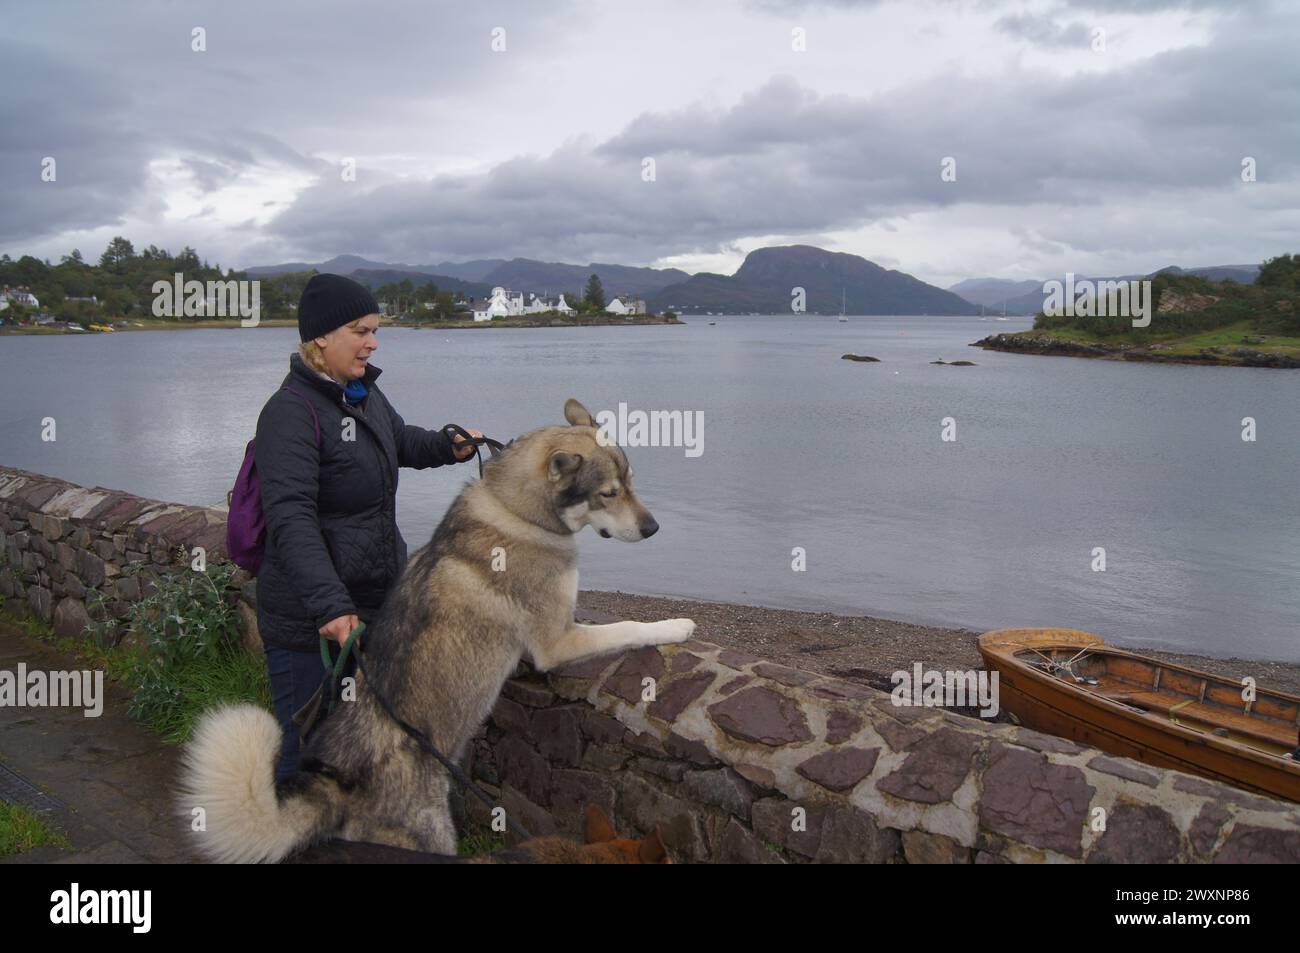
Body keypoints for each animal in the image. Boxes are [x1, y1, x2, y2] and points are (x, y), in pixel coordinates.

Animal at [180, 397, 702, 858]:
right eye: (609, 493)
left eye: (631, 483)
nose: (653, 528)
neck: (516, 510)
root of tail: (338, 783)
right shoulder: (556, 641)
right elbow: (631, 625)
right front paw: (676, 625)